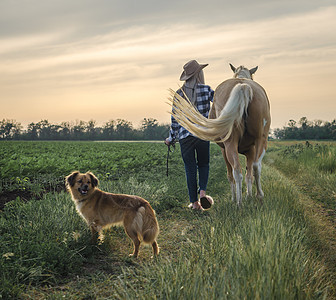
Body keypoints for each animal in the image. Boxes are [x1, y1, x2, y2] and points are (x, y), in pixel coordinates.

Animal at [169, 63, 272, 204]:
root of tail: (243, 85)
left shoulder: (228, 150)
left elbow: (236, 174)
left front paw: (240, 197)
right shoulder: (249, 150)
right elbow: (248, 174)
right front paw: (248, 196)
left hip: (235, 144)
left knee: (238, 171)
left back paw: (241, 201)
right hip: (258, 140)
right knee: (251, 167)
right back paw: (252, 198)